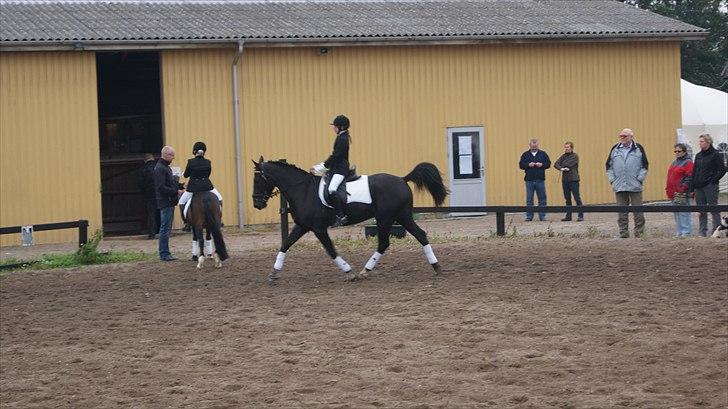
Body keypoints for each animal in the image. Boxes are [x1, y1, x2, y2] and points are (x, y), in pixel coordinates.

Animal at [253, 158, 446, 282]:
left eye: (259, 179)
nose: (257, 204)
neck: (303, 190)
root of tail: (401, 179)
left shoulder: (318, 228)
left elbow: (330, 250)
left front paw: (349, 272)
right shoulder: (302, 226)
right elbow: (285, 244)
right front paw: (274, 273)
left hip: (386, 218)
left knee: (384, 243)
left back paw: (364, 271)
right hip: (402, 216)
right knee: (420, 235)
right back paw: (436, 267)